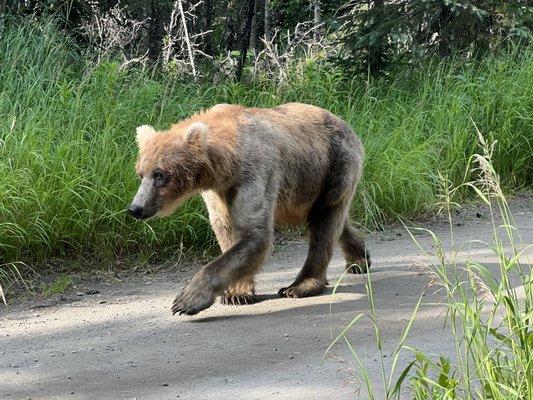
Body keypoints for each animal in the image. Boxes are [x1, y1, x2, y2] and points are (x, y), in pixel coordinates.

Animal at [129, 103, 370, 316]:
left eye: (160, 174)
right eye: (141, 173)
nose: (135, 208)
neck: (226, 163)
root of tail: (344, 122)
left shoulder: (255, 174)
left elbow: (254, 234)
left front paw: (186, 300)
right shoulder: (219, 192)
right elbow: (227, 232)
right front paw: (237, 294)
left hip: (335, 167)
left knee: (325, 222)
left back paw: (300, 285)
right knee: (336, 222)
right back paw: (359, 259)